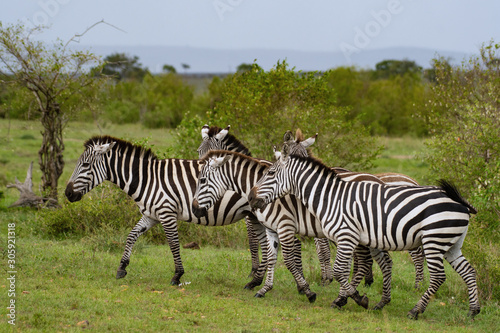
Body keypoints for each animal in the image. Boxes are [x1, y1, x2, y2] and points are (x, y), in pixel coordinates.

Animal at [66, 135, 272, 288]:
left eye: (85, 165)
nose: (67, 193)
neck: (148, 179)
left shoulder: (167, 212)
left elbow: (173, 244)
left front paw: (177, 276)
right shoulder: (151, 215)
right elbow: (131, 235)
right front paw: (122, 267)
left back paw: (257, 280)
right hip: (254, 216)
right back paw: (257, 279)